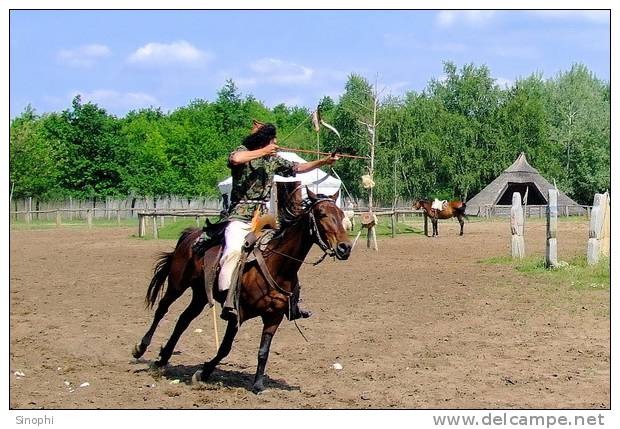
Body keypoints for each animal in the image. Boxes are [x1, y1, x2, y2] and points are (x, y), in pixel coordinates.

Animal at [133, 189, 352, 392]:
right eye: (322, 214)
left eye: (341, 214)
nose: (345, 247)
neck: (277, 267)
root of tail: (191, 234)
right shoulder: (237, 314)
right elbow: (225, 348)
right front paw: (203, 373)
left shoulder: (274, 318)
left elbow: (263, 351)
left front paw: (258, 384)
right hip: (177, 284)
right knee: (162, 309)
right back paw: (141, 348)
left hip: (201, 295)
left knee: (183, 320)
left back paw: (163, 358)